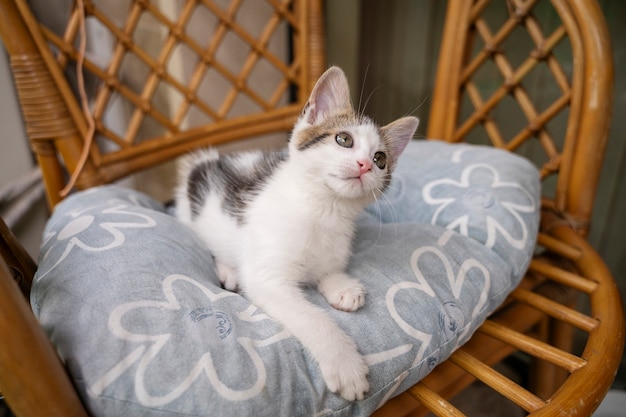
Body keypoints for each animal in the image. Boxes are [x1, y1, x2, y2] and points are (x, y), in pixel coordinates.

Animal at [176, 66, 416, 400]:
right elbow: (312, 318)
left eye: (381, 159)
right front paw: (346, 365)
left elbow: (328, 270)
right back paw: (229, 270)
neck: (324, 210)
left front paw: (343, 286)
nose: (365, 165)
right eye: (344, 139)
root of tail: (205, 162)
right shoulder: (268, 278)